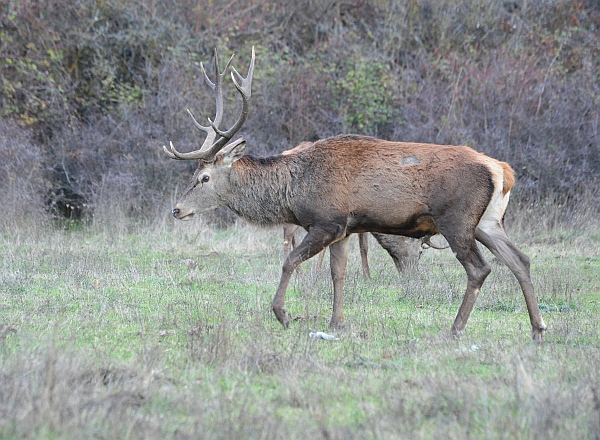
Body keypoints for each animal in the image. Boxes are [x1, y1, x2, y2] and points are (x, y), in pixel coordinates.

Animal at [164, 49, 548, 344]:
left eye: (204, 177)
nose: (177, 209)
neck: (294, 192)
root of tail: (502, 170)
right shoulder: (346, 228)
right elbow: (338, 273)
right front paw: (337, 322)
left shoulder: (326, 220)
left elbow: (290, 261)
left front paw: (283, 314)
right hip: (488, 221)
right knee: (520, 260)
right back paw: (538, 328)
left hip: (456, 218)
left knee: (480, 268)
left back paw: (455, 329)